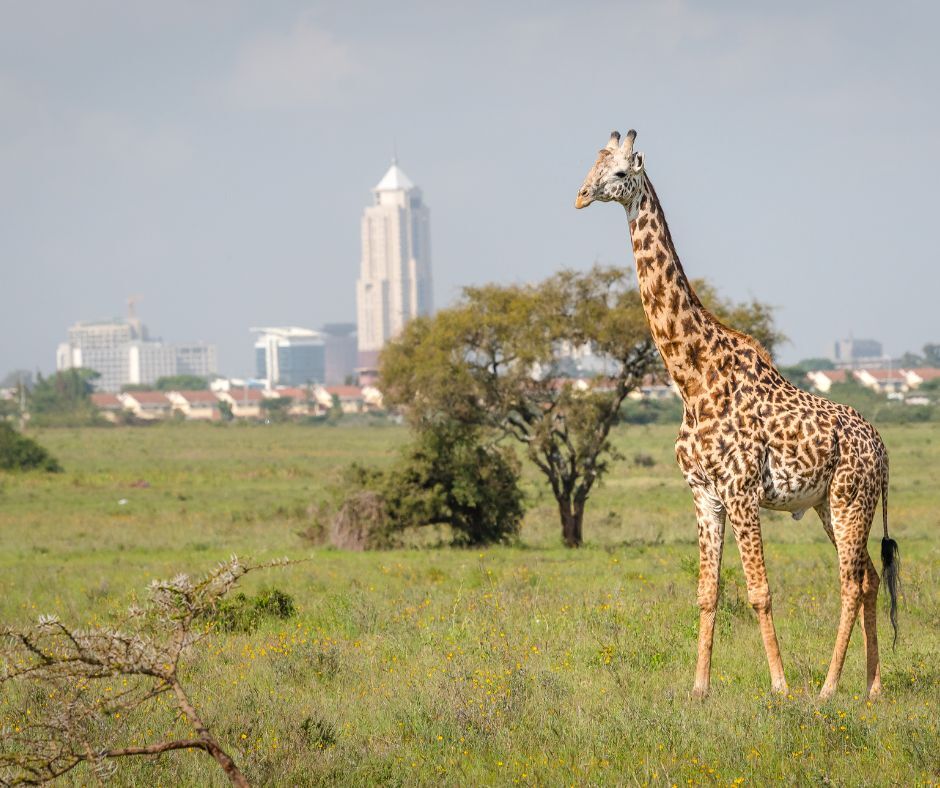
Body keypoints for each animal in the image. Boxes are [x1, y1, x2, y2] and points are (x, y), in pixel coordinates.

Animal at [572, 131, 904, 700]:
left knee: (850, 582)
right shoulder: (704, 494)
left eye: (619, 173)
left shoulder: (742, 490)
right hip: (828, 504)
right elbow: (707, 592)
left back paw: (828, 688)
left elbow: (758, 591)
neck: (692, 378)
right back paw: (872, 687)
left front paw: (780, 686)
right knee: (869, 579)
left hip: (850, 499)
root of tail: (881, 450)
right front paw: (700, 688)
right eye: (592, 165)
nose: (581, 196)